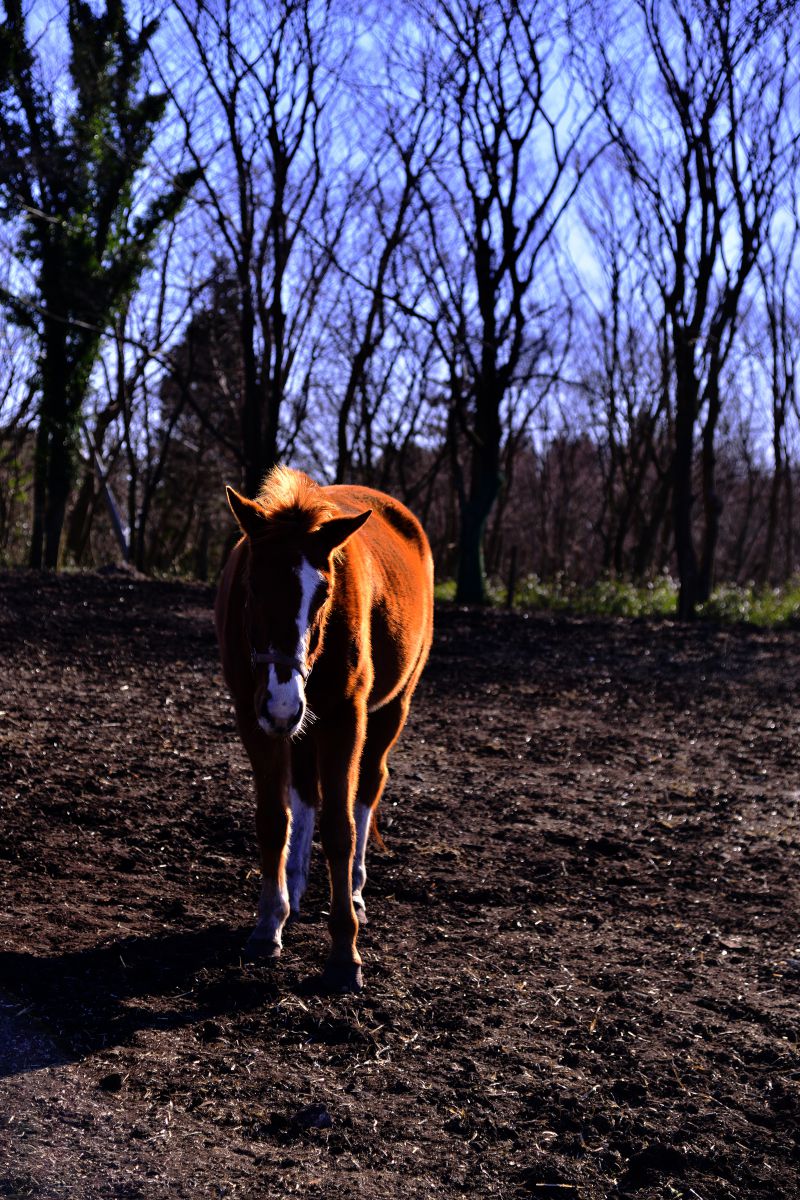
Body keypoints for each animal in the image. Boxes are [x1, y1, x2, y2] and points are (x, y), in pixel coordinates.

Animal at [214, 463, 431, 988]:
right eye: (252, 586)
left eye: (324, 594)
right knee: (305, 793)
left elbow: (341, 826)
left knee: (368, 787)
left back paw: (352, 888)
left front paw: (343, 953)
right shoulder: (253, 716)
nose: (283, 702)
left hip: (389, 709)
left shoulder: (344, 718)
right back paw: (294, 887)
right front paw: (268, 922)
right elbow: (275, 818)